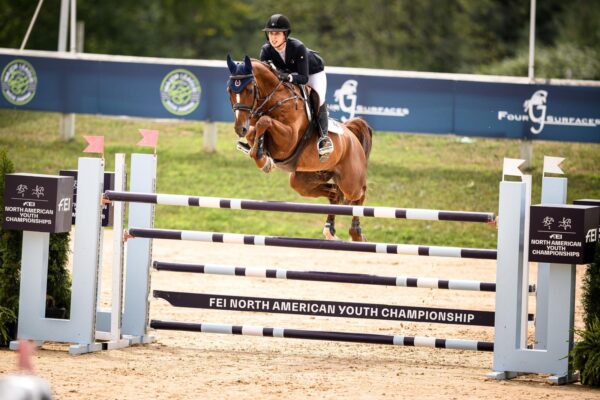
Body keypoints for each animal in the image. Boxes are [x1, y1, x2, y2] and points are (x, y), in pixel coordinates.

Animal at [227, 55, 372, 241]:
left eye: (250, 90)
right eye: (229, 91)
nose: (240, 129)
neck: (274, 100)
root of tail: (351, 135)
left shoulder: (288, 140)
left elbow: (264, 122)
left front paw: (262, 155)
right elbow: (255, 132)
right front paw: (263, 159)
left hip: (350, 181)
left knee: (360, 193)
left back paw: (356, 233)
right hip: (304, 180)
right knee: (334, 194)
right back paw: (330, 230)